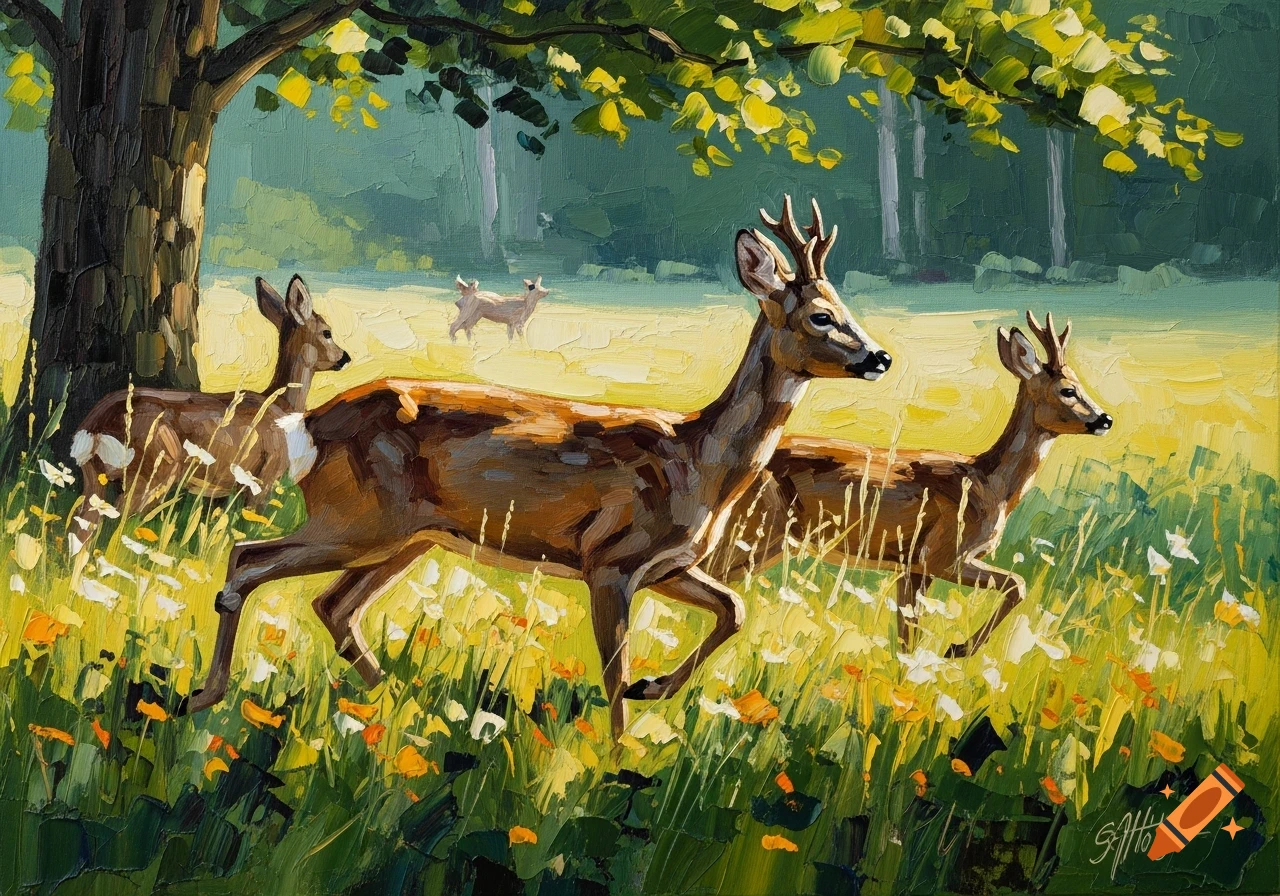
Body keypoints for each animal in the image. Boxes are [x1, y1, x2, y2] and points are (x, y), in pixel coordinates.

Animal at [70, 276, 349, 564]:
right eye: (327, 332)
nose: (345, 358)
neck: (283, 409)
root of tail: (93, 427)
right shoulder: (266, 475)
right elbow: (250, 528)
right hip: (153, 468)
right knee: (118, 517)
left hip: (95, 474)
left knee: (84, 522)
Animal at [185, 197, 893, 740]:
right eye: (821, 315)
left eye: (849, 309)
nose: (880, 357)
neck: (699, 464)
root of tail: (308, 426)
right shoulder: (610, 558)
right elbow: (612, 670)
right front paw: (617, 752)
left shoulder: (667, 563)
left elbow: (734, 611)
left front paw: (654, 690)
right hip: (358, 518)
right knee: (248, 559)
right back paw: (208, 695)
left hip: (405, 535)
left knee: (332, 605)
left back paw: (392, 703)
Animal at [716, 312, 1111, 659]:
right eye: (1068, 390)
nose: (1105, 419)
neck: (989, 484)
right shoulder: (942, 555)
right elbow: (1018, 584)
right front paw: (958, 649)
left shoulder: (913, 568)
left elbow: (908, 636)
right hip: (755, 531)